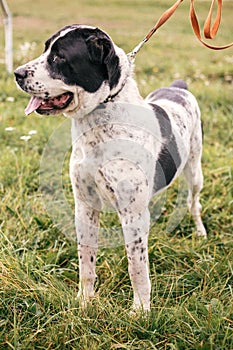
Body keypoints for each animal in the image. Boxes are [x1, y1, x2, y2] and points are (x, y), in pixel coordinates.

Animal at [14, 25, 206, 312]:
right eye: (45, 48)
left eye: (59, 57)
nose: (16, 73)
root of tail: (178, 87)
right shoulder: (85, 205)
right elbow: (86, 259)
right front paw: (85, 301)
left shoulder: (131, 212)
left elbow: (137, 266)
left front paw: (140, 311)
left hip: (194, 172)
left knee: (193, 203)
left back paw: (200, 232)